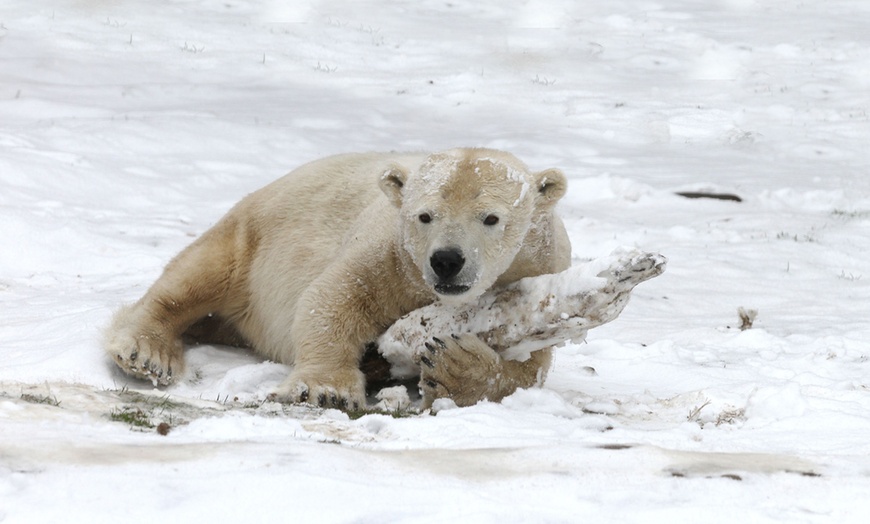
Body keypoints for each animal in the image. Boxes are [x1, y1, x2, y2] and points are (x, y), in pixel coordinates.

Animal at [104, 147, 572, 410]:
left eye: (491, 218)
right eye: (424, 215)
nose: (446, 261)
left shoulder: (542, 273)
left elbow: (532, 366)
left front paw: (453, 364)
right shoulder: (390, 253)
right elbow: (334, 297)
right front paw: (325, 389)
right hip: (256, 231)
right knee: (202, 273)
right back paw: (147, 352)